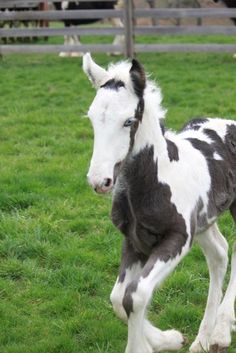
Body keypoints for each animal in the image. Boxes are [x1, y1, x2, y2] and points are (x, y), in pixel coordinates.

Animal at [83, 53, 236, 352]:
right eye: (92, 118)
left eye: (128, 121)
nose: (99, 180)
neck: (158, 176)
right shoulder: (134, 240)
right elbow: (119, 298)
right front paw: (169, 339)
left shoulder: (178, 238)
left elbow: (136, 295)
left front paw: (146, 345)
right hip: (204, 221)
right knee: (219, 254)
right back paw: (202, 339)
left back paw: (221, 332)